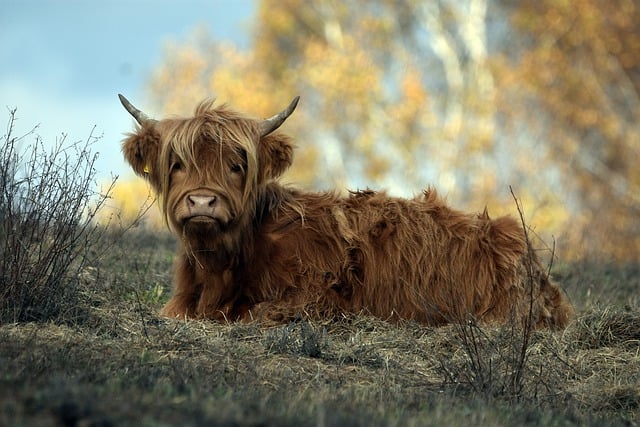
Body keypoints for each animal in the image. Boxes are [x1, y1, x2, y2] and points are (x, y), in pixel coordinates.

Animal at [117, 94, 572, 328]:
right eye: (177, 164)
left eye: (236, 165)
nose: (202, 202)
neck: (220, 267)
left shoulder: (317, 297)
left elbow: (256, 313)